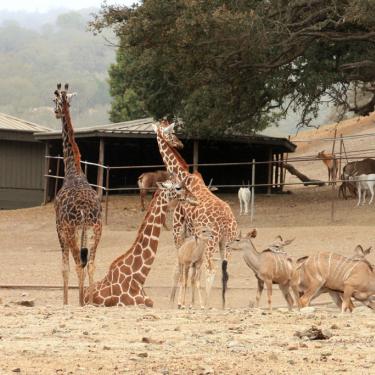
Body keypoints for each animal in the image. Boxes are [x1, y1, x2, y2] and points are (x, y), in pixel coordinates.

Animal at [153, 123, 238, 308]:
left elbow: (180, 266)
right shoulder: (192, 233)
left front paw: (177, 301)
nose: (180, 144)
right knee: (225, 272)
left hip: (211, 242)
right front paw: (186, 301)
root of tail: (228, 223)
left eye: (171, 132)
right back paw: (223, 305)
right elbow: (190, 270)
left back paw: (205, 303)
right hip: (227, 243)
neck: (183, 176)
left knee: (210, 269)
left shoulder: (179, 225)